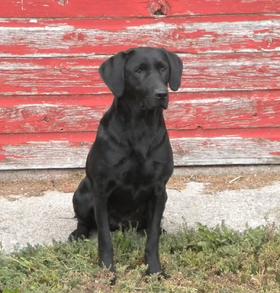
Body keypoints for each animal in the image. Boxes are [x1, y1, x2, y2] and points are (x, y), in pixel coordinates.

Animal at [69, 47, 183, 274]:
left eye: (163, 68)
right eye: (139, 70)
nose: (162, 94)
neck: (140, 126)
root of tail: (122, 225)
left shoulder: (159, 191)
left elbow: (152, 239)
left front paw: (154, 270)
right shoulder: (101, 191)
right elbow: (104, 238)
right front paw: (107, 270)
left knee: (150, 227)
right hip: (82, 194)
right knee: (84, 221)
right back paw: (78, 234)